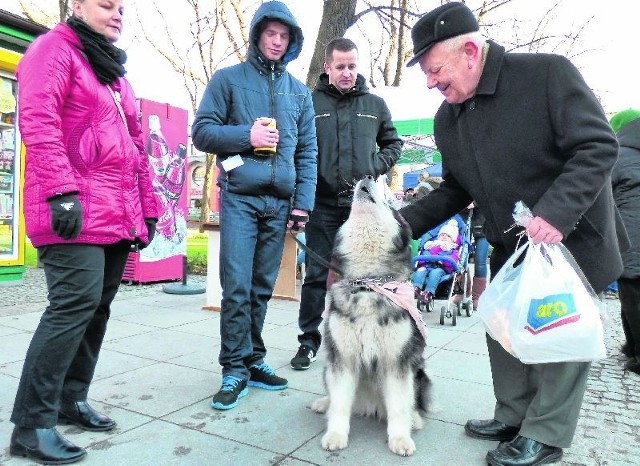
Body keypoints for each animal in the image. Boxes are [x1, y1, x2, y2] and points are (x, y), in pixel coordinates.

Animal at [310, 175, 430, 456]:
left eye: (390, 203)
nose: (367, 176)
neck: (368, 283)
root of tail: (370, 405)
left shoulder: (397, 361)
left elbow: (399, 405)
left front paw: (400, 438)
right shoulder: (342, 358)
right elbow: (340, 403)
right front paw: (335, 434)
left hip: (418, 373)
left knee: (411, 402)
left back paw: (414, 419)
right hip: (328, 368)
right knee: (333, 395)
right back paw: (323, 403)